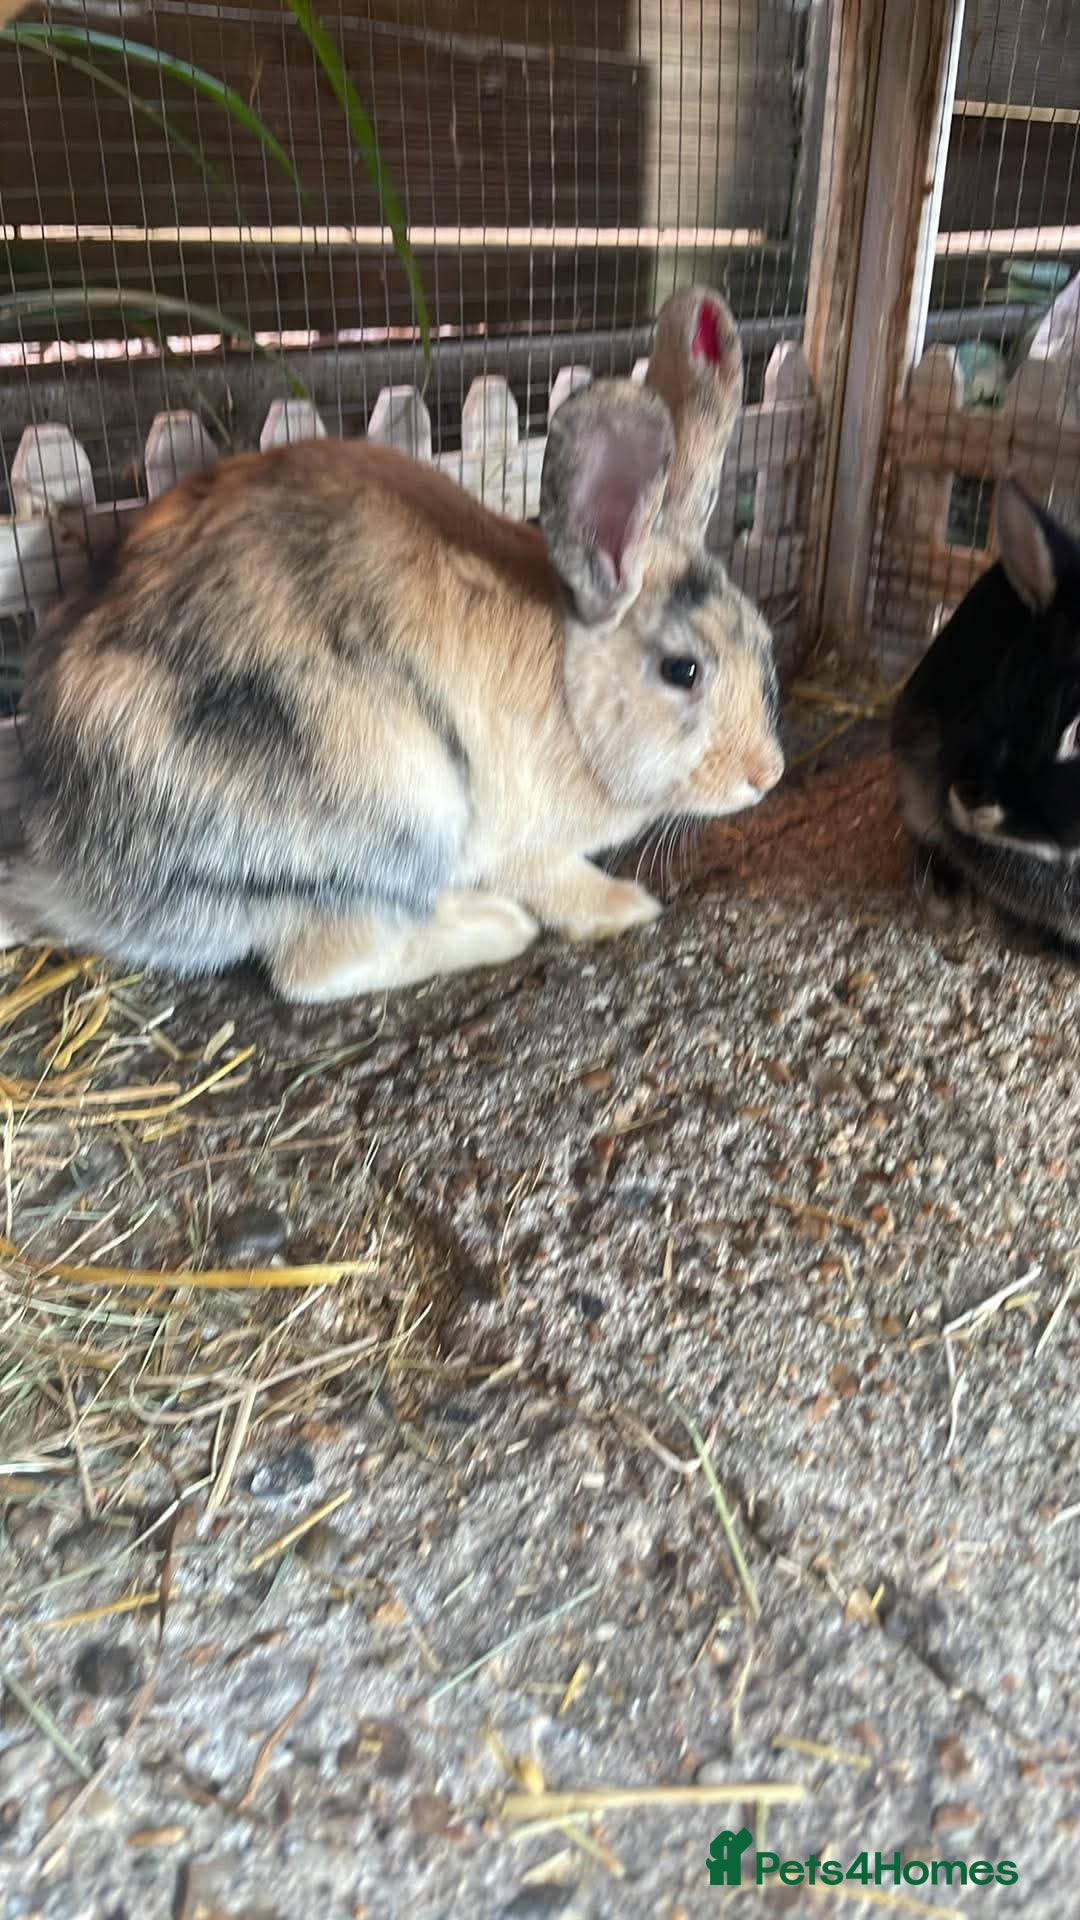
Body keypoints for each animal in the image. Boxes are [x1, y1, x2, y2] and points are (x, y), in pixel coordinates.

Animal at [2, 285, 784, 1003]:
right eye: (683, 670)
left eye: (763, 642)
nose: (766, 775)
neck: (570, 691)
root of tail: (67, 872)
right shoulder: (525, 848)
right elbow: (561, 881)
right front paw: (626, 907)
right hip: (391, 804)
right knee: (316, 967)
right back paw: (496, 925)